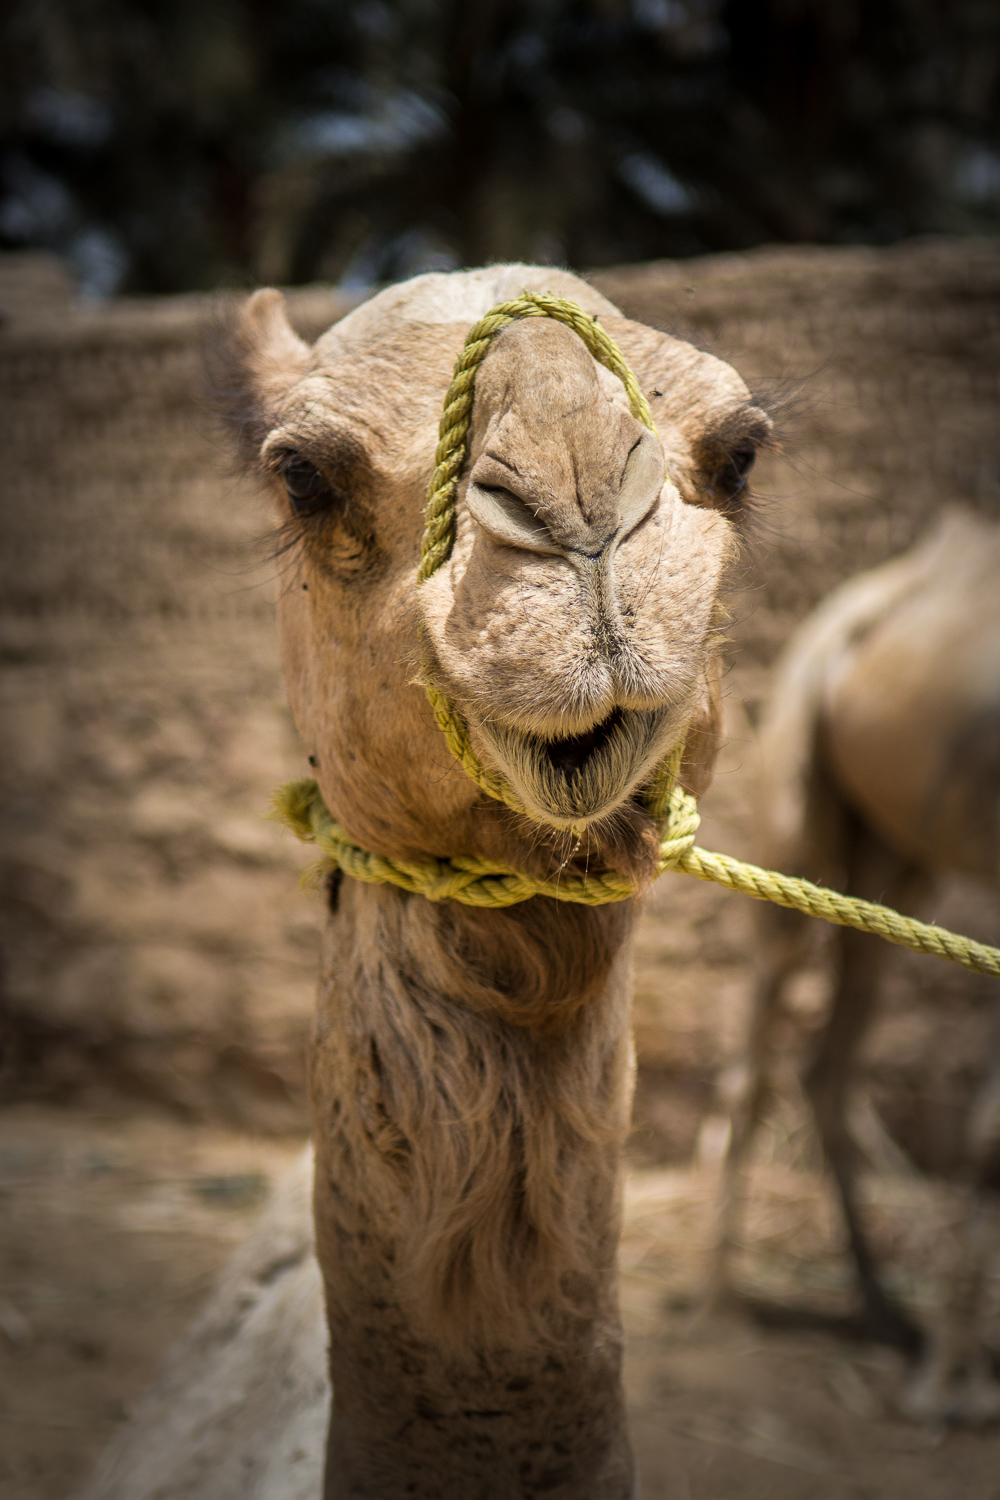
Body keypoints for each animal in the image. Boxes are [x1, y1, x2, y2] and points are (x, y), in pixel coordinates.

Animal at [710, 507, 1000, 1428]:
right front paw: (951, 1385)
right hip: (799, 770)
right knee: (763, 1041)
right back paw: (720, 1297)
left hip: (895, 854)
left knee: (831, 1053)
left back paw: (879, 1308)